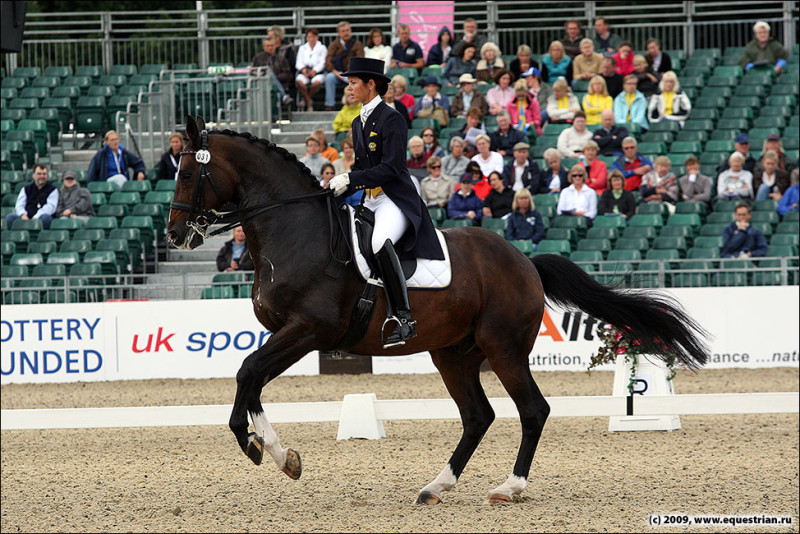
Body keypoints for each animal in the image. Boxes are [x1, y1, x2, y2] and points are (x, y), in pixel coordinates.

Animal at [167, 117, 708, 506]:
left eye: (189, 172)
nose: (175, 236)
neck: (294, 230)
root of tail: (524, 261)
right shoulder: (287, 332)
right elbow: (252, 380)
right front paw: (277, 453)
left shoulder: (308, 330)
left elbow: (247, 372)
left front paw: (263, 450)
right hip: (453, 353)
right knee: (478, 416)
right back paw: (435, 486)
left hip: (503, 348)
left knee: (532, 410)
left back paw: (509, 488)